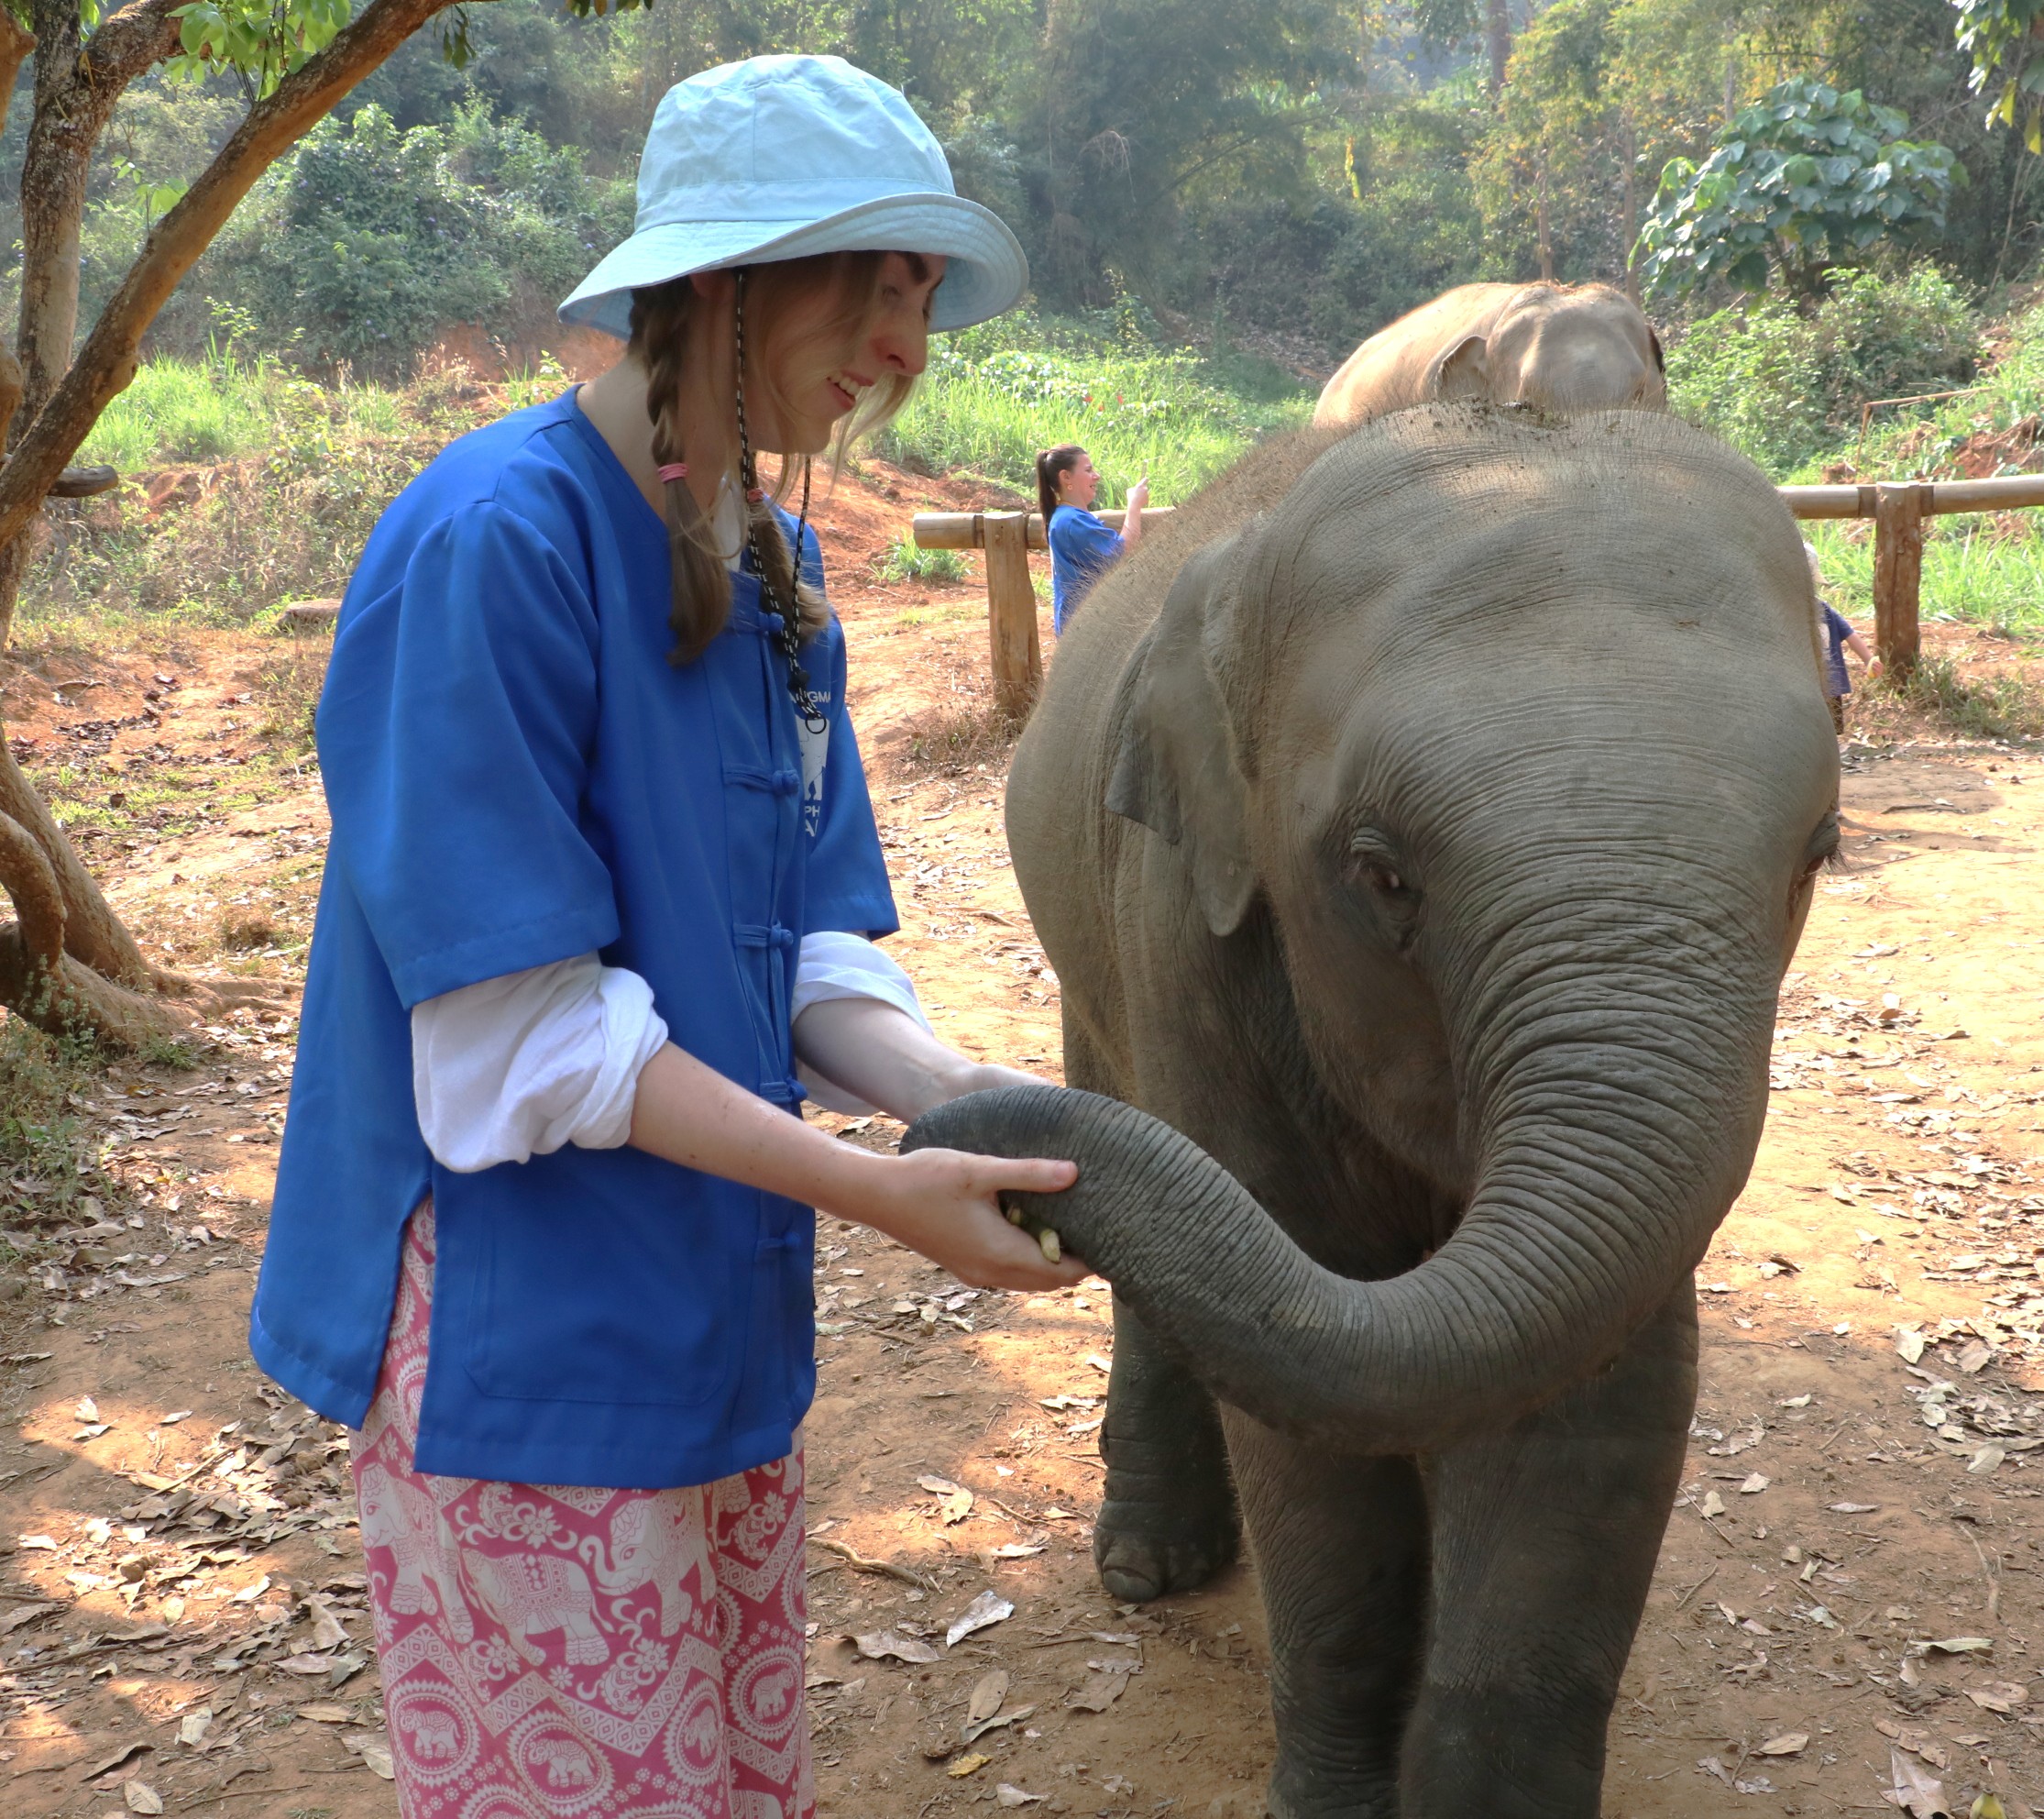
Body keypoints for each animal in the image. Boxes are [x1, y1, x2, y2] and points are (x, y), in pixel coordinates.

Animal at [906, 405, 1837, 1817]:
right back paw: (1147, 1567)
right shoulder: (1184, 929)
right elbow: (1310, 1398)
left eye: (1818, 855)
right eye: (1378, 872)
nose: (942, 1138)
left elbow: (1598, 1394)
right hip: (1091, 963)